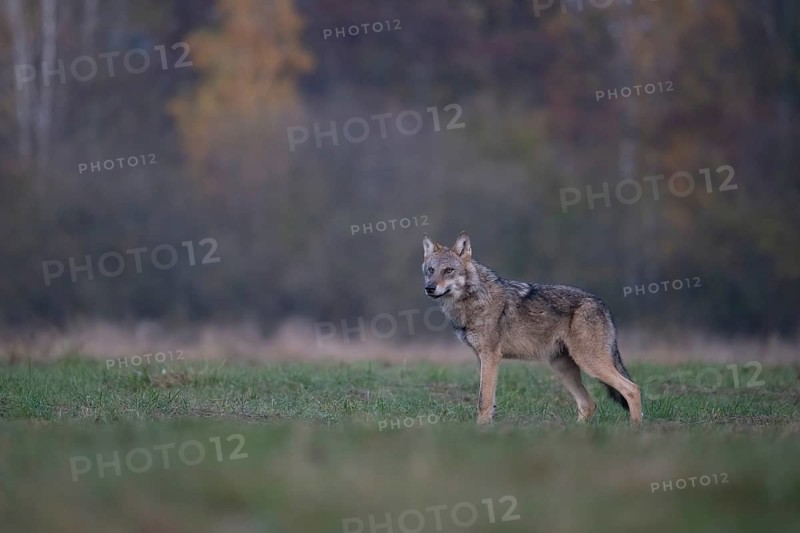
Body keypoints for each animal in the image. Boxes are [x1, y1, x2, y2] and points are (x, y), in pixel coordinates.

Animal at [421, 232, 641, 425]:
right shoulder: (482, 358)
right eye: (431, 270)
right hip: (562, 367)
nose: (429, 288)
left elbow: (483, 400)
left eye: (448, 270)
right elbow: (490, 401)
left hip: (589, 362)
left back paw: (635, 429)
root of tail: (602, 304)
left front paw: (480, 430)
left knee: (632, 389)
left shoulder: (491, 356)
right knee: (588, 404)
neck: (474, 299)